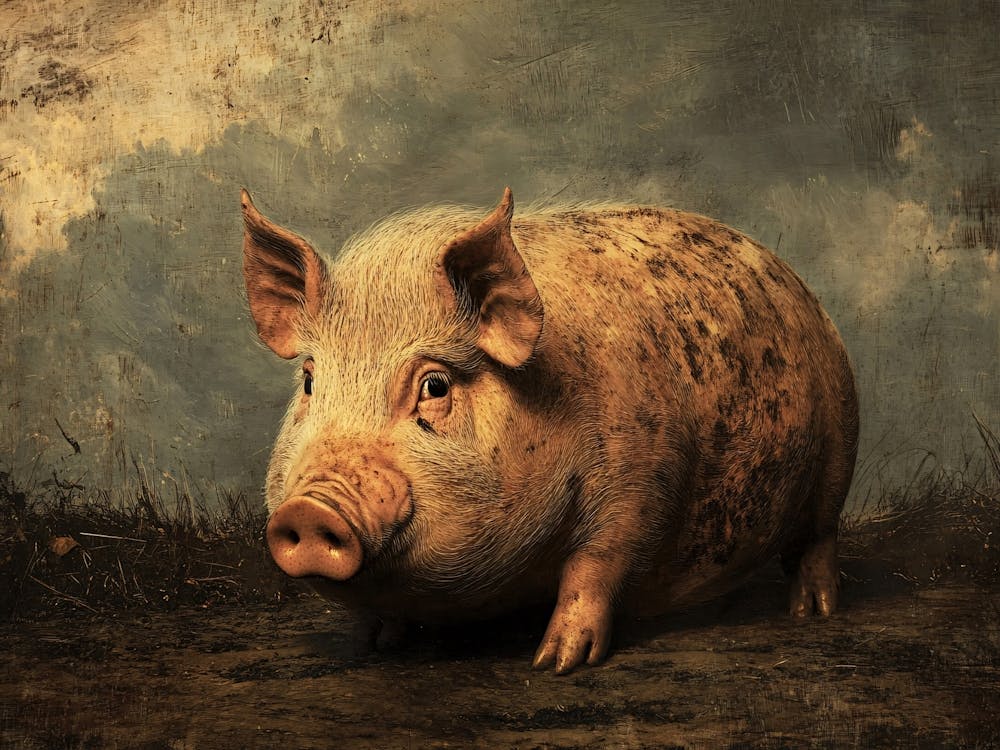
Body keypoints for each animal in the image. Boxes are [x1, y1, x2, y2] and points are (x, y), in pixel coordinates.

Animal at [241, 186, 859, 674]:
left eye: (435, 386)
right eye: (310, 380)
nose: (309, 509)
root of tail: (798, 283)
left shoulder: (642, 482)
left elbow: (595, 568)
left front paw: (554, 664)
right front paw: (368, 646)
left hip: (842, 438)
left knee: (820, 537)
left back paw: (811, 612)